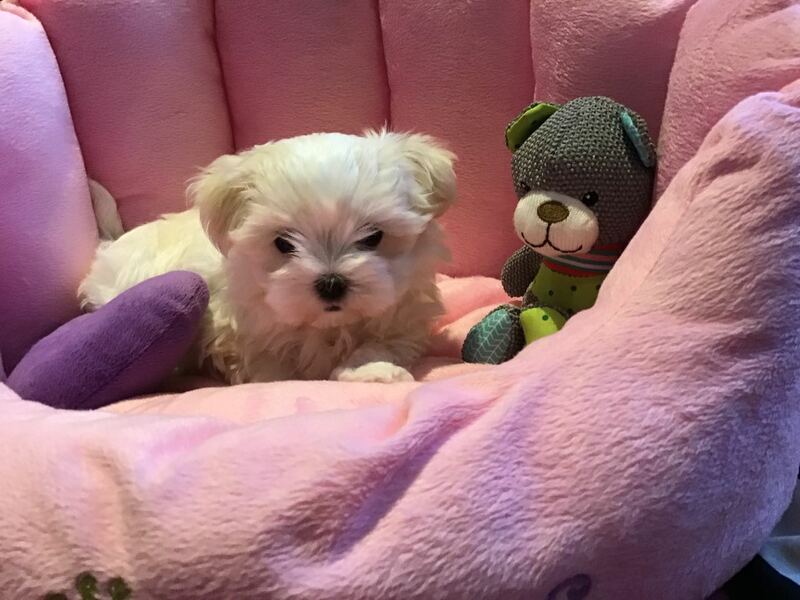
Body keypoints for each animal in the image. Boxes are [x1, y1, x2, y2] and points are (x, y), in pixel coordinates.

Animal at [79, 130, 456, 384]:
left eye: (373, 236)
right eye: (283, 244)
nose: (331, 283)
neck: (326, 325)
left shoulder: (403, 318)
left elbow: (382, 342)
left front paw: (372, 370)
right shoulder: (242, 332)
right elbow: (269, 367)